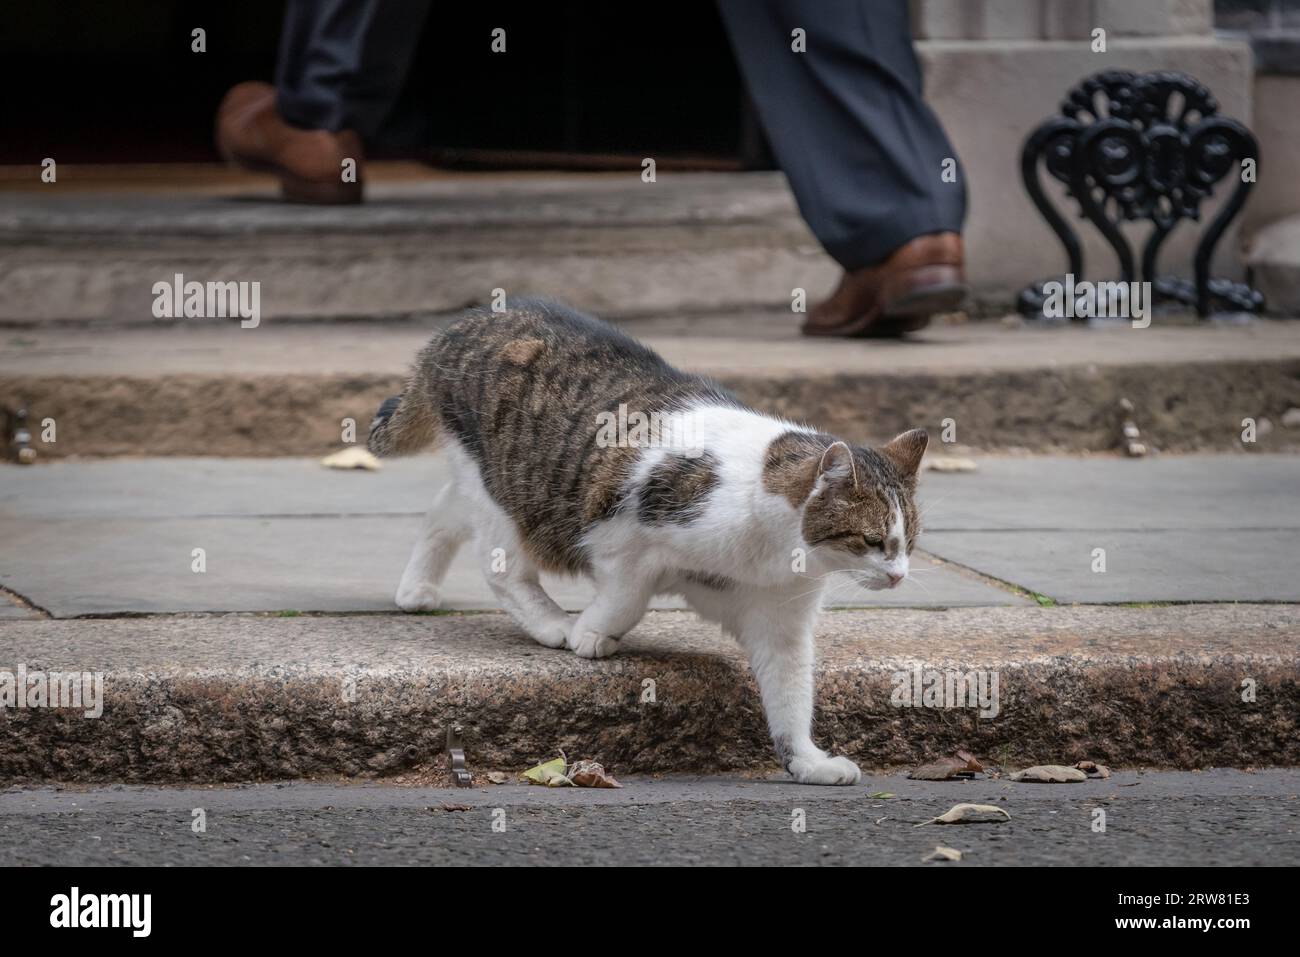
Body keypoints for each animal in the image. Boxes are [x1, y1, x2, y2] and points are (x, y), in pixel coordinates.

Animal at [371, 299, 930, 785]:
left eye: (910, 542)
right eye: (871, 540)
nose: (900, 576)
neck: (772, 554)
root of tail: (464, 324)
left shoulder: (780, 619)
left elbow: (790, 695)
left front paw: (809, 763)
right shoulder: (623, 531)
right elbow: (627, 594)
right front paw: (592, 633)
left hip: (488, 485)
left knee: (444, 510)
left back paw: (416, 589)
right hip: (505, 491)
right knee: (501, 566)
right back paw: (552, 623)